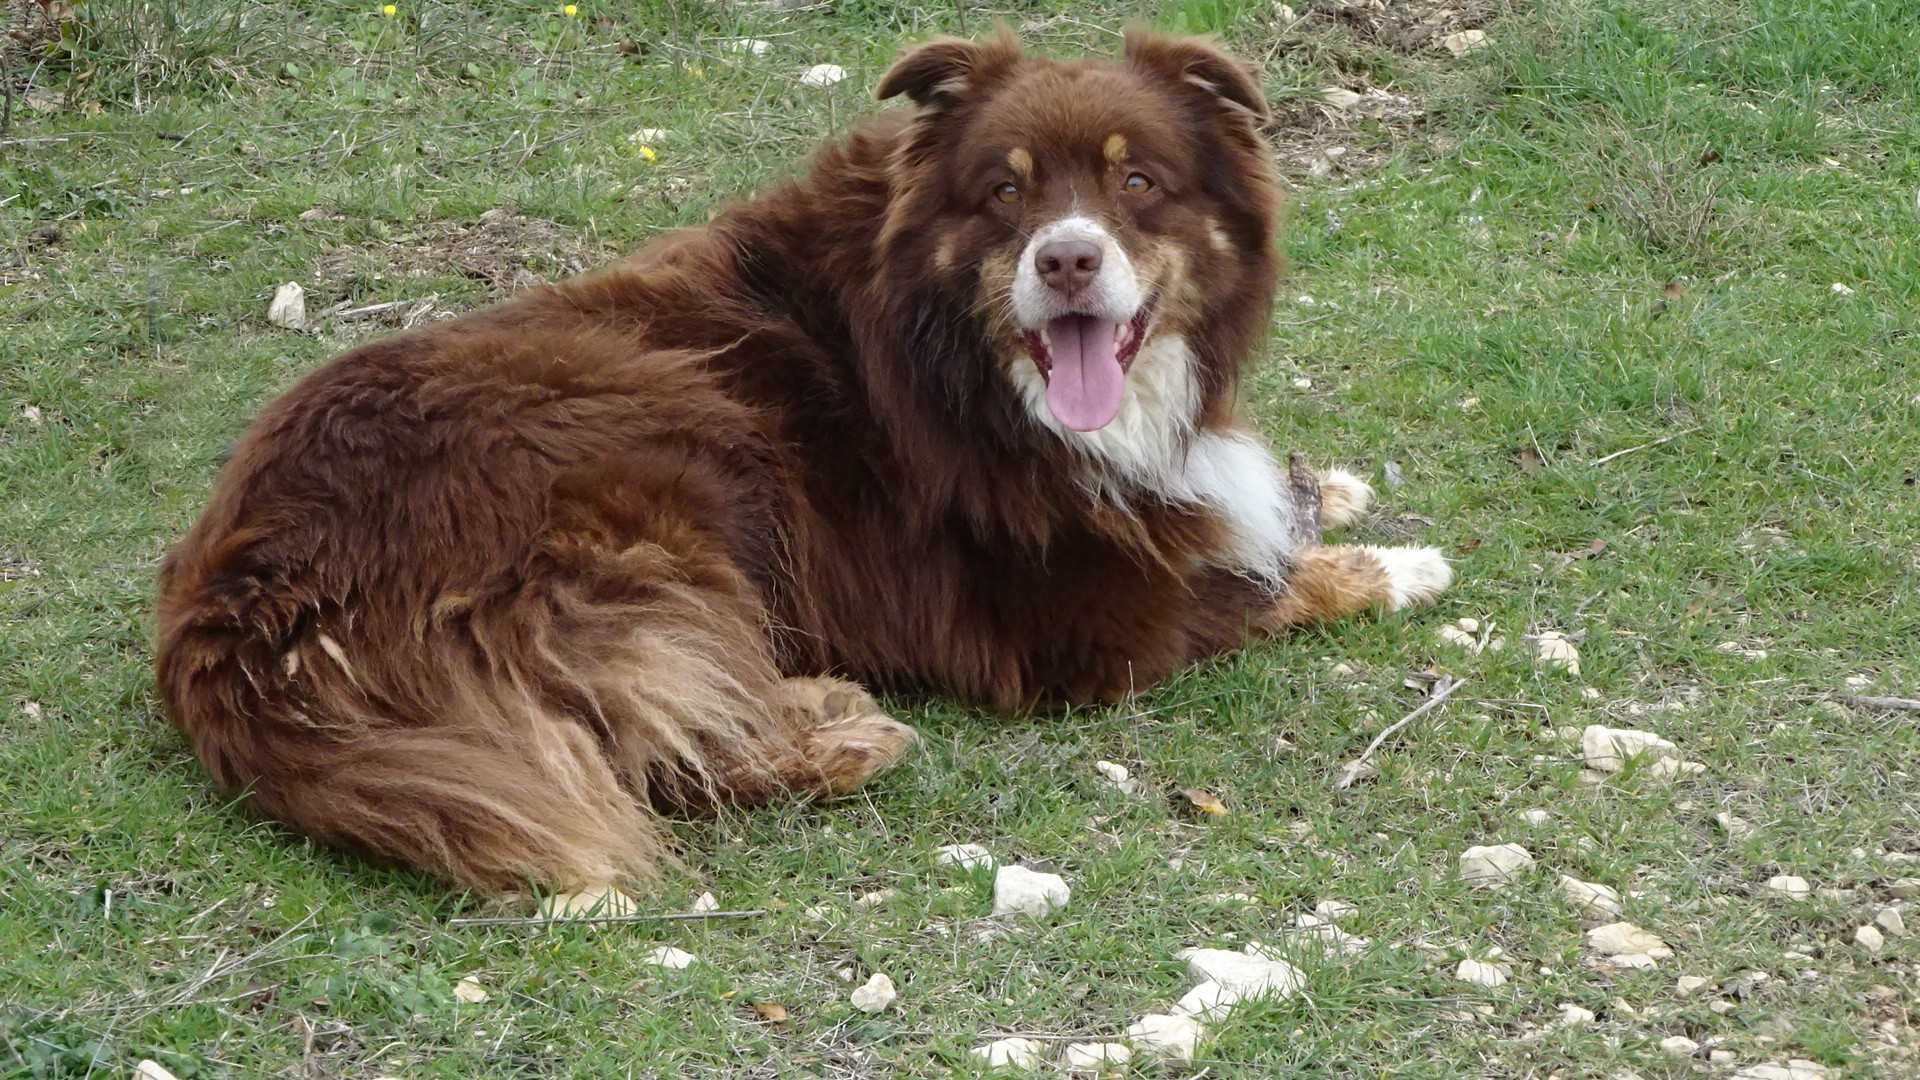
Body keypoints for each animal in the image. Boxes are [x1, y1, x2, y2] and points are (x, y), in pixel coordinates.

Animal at [154, 28, 1452, 898]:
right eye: (1004, 191)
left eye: (1140, 182)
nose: (1069, 261)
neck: (962, 358)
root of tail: (235, 604)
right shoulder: (1071, 625)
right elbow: (1250, 581)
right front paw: (1392, 566)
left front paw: (1317, 487)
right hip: (672, 441)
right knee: (650, 746)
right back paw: (840, 733)